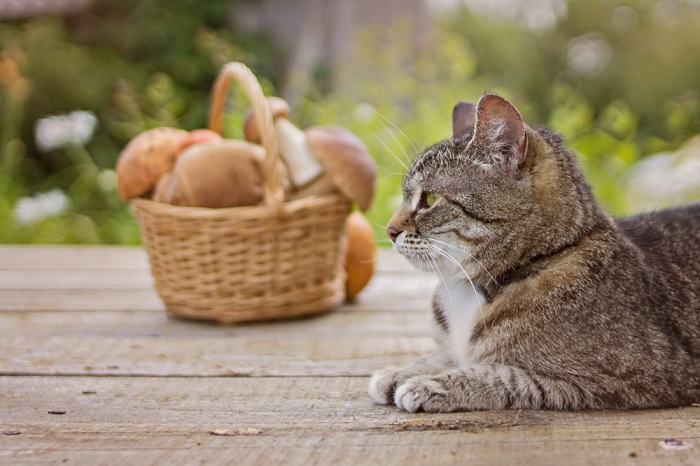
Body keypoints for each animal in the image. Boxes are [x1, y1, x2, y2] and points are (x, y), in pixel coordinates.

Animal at [370, 93, 696, 412]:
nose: (389, 230)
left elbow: (502, 374)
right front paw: (404, 370)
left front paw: (434, 383)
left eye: (429, 198)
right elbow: (443, 356)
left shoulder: (632, 376)